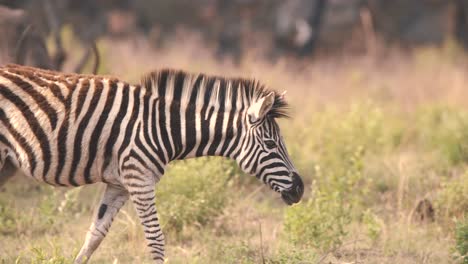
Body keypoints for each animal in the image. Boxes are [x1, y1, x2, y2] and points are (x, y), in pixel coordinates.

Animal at [0, 63, 304, 262]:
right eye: (270, 145)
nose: (300, 189)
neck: (163, 127)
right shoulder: (139, 178)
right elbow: (156, 239)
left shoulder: (119, 184)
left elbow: (94, 236)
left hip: (6, 164)